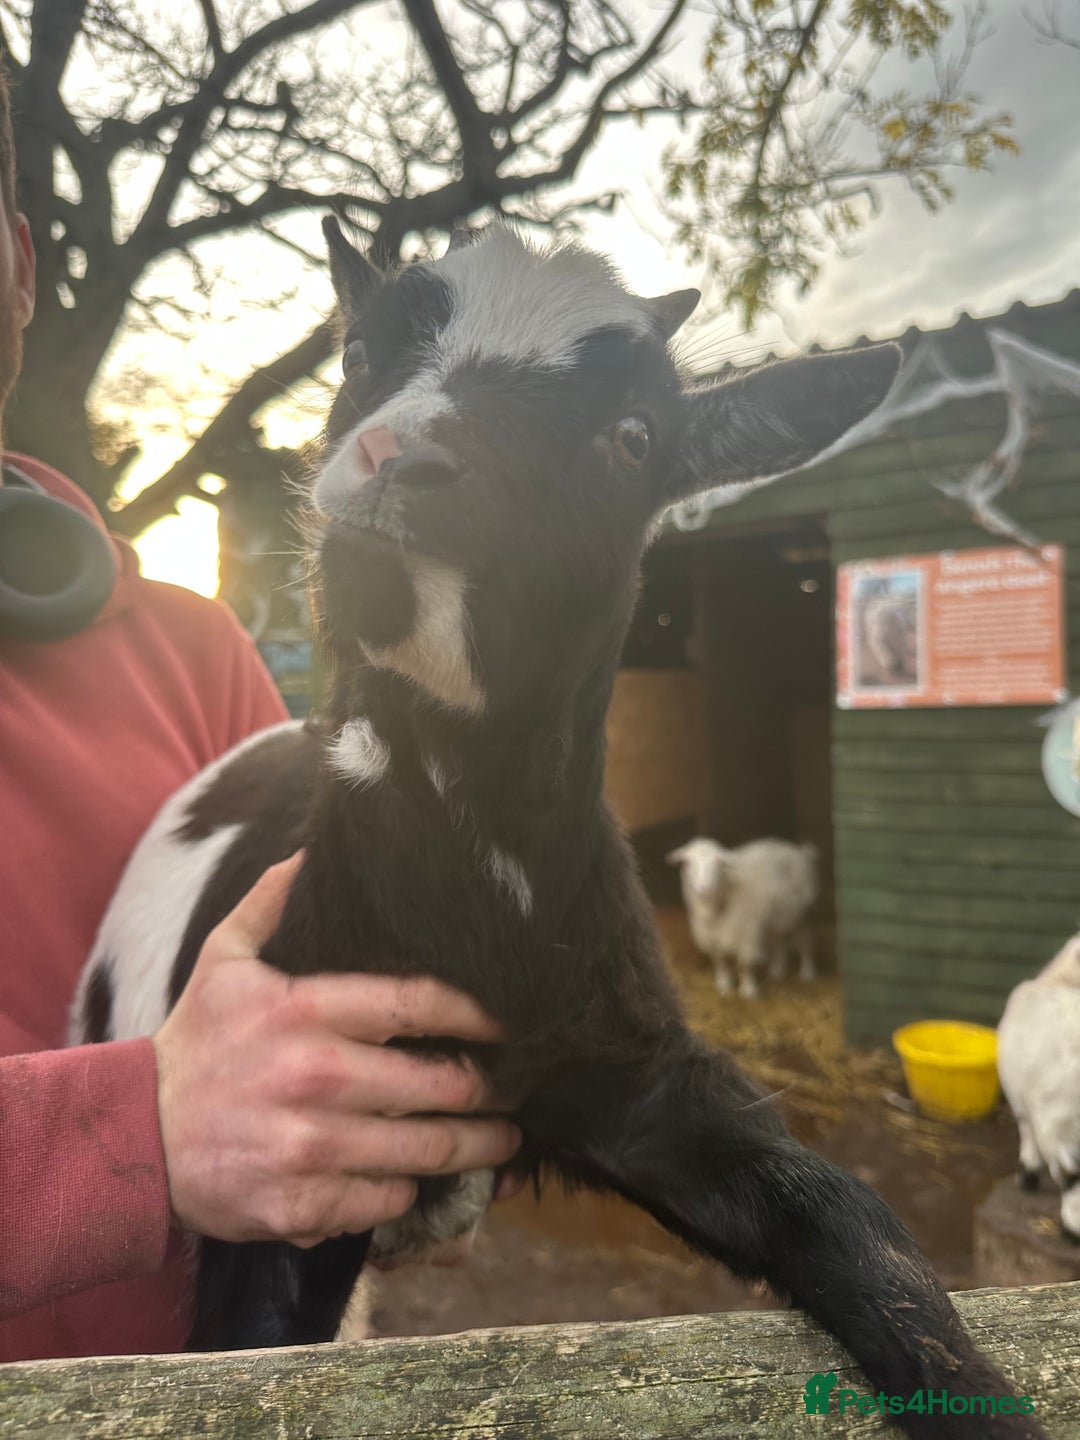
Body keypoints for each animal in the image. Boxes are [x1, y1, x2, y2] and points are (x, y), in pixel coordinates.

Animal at [667, 837, 817, 998]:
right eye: (687, 863)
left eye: (718, 863)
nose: (704, 887)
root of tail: (794, 849)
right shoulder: (711, 935)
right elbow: (720, 960)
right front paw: (724, 983)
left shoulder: (746, 933)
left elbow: (744, 963)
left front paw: (748, 990)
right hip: (777, 915)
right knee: (779, 942)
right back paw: (777, 970)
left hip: (804, 912)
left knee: (806, 941)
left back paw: (807, 972)